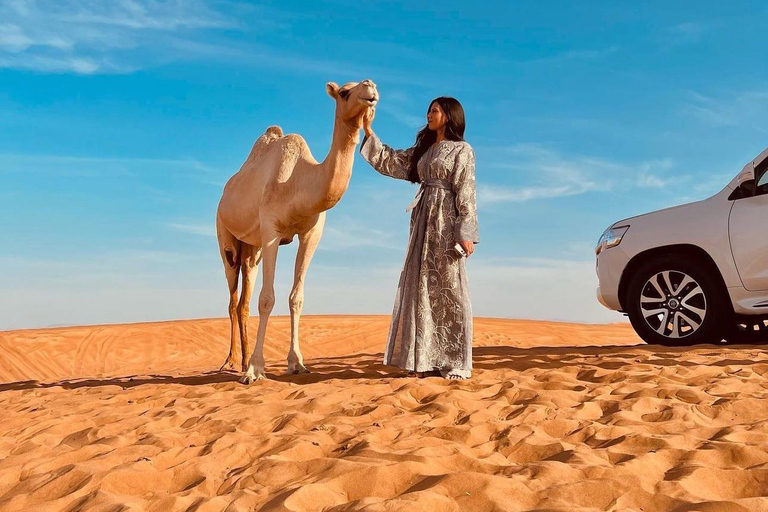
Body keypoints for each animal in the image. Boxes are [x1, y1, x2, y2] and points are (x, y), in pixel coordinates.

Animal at [216, 79, 378, 384]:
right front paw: (256, 370)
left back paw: (242, 360)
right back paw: (232, 362)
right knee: (232, 299)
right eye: (344, 92)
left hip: (251, 249)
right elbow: (267, 299)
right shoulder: (271, 229)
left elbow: (296, 298)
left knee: (242, 302)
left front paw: (296, 363)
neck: (299, 182)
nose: (370, 87)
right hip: (225, 238)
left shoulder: (311, 233)